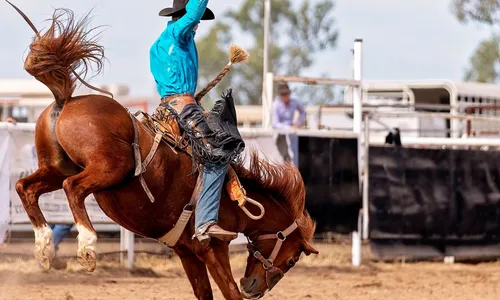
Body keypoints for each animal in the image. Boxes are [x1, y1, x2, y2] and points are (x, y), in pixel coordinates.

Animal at [5, 2, 318, 300]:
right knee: (73, 187)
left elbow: (204, 293)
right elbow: (229, 292)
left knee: (26, 187)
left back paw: (44, 246)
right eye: (292, 260)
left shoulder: (185, 250)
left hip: (56, 167)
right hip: (110, 167)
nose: (253, 287)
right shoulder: (213, 247)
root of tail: (66, 100)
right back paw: (87, 246)